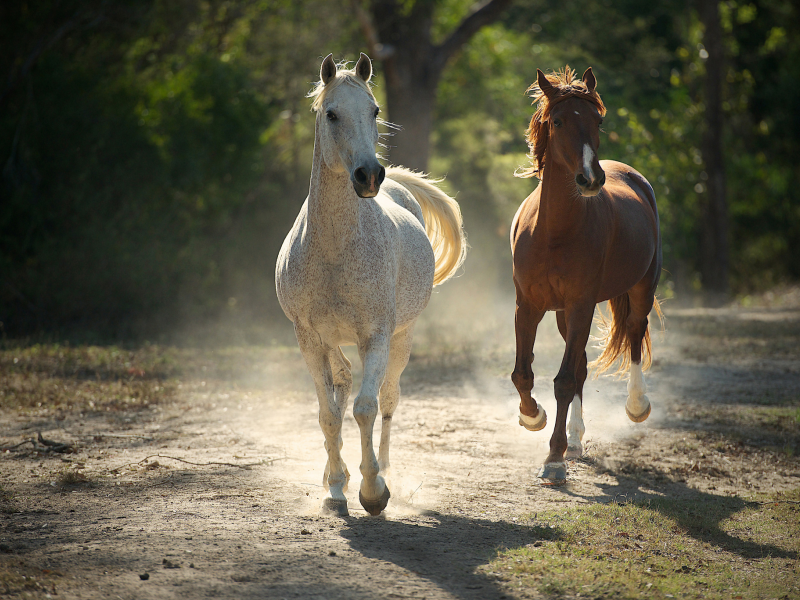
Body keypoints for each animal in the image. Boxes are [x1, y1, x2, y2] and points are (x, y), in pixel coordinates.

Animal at [276, 54, 466, 516]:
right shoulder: (308, 338)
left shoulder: (376, 336)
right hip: (331, 340)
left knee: (388, 401)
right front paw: (336, 488)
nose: (368, 176)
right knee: (342, 382)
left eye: (375, 110)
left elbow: (366, 407)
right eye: (331, 113)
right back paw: (336, 478)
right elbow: (329, 413)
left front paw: (373, 490)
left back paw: (386, 473)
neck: (333, 250)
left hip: (403, 337)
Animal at [512, 68, 664, 482]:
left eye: (598, 121)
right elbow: (524, 374)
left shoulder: (581, 304)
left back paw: (636, 405)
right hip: (564, 315)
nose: (590, 178)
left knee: (634, 332)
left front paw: (553, 458)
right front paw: (533, 417)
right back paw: (576, 440)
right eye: (558, 121)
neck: (554, 231)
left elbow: (563, 381)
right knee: (579, 363)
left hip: (641, 287)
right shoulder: (528, 306)